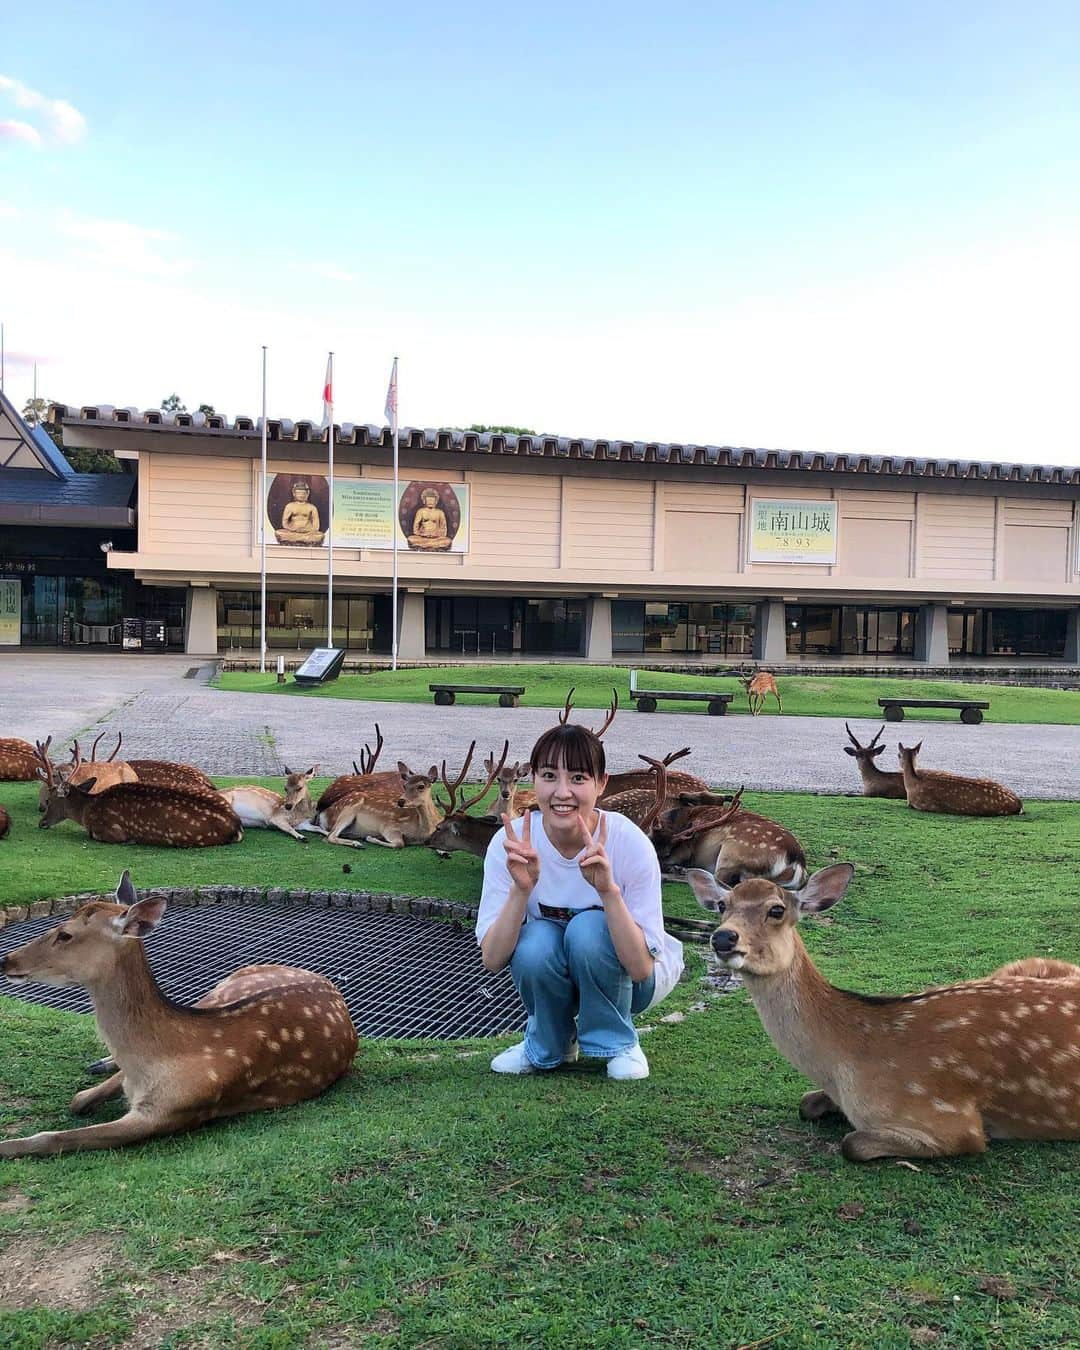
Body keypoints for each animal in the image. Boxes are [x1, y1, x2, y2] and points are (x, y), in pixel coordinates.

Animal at [0, 874, 359, 1161]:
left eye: (66, 934)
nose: (7, 960)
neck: (153, 1060)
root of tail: (329, 984)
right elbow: (78, 1100)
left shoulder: (171, 1112)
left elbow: (53, 1138)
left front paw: (7, 1147)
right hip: (220, 988)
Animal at [36, 745, 244, 847]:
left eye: (51, 800)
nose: (41, 823)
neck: (88, 810)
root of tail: (236, 825)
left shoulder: (111, 831)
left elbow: (96, 835)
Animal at [688, 864, 1080, 1161]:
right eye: (722, 905)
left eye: (776, 910)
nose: (723, 938)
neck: (846, 1066)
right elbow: (806, 1103)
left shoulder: (953, 1122)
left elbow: (852, 1144)